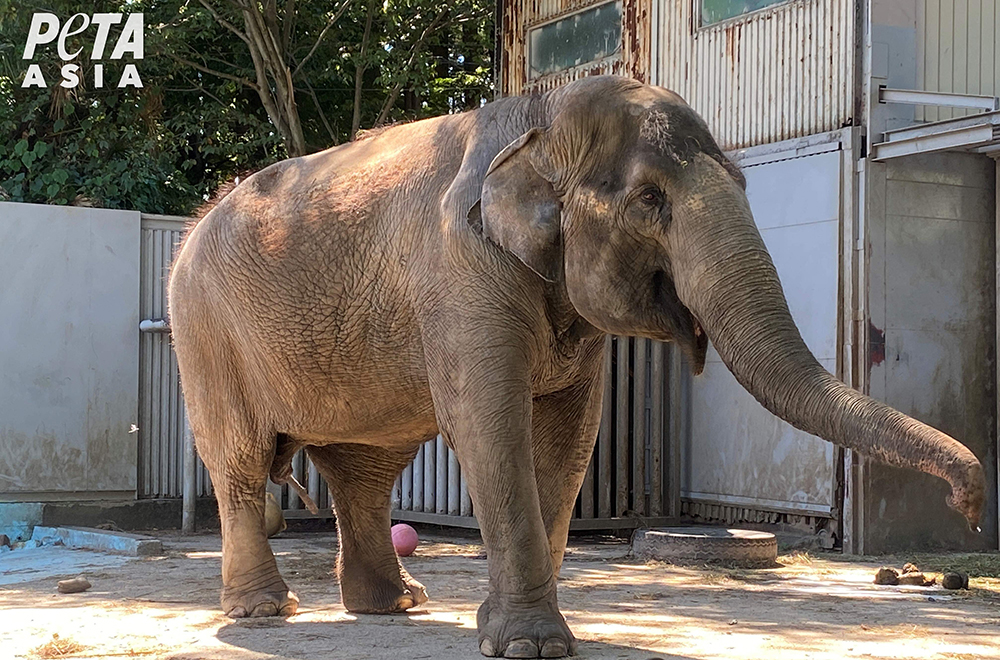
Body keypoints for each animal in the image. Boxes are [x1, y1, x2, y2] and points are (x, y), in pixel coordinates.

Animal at [166, 77, 984, 660]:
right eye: (650, 200)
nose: (971, 504)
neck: (540, 115)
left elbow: (569, 431)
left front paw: (503, 631)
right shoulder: (459, 270)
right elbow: (489, 423)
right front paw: (530, 646)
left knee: (367, 468)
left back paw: (396, 605)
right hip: (203, 332)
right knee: (241, 462)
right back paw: (267, 611)